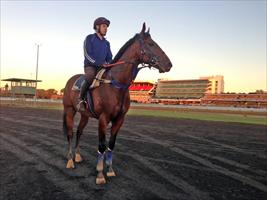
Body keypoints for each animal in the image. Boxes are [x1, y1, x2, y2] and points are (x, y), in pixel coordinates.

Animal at [62, 23, 173, 184]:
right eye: (151, 44)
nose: (169, 64)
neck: (115, 84)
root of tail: (71, 80)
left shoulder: (119, 119)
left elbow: (111, 145)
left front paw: (110, 170)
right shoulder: (103, 119)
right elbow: (102, 146)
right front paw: (100, 174)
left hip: (84, 115)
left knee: (79, 132)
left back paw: (77, 156)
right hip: (70, 111)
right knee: (70, 133)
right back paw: (70, 160)